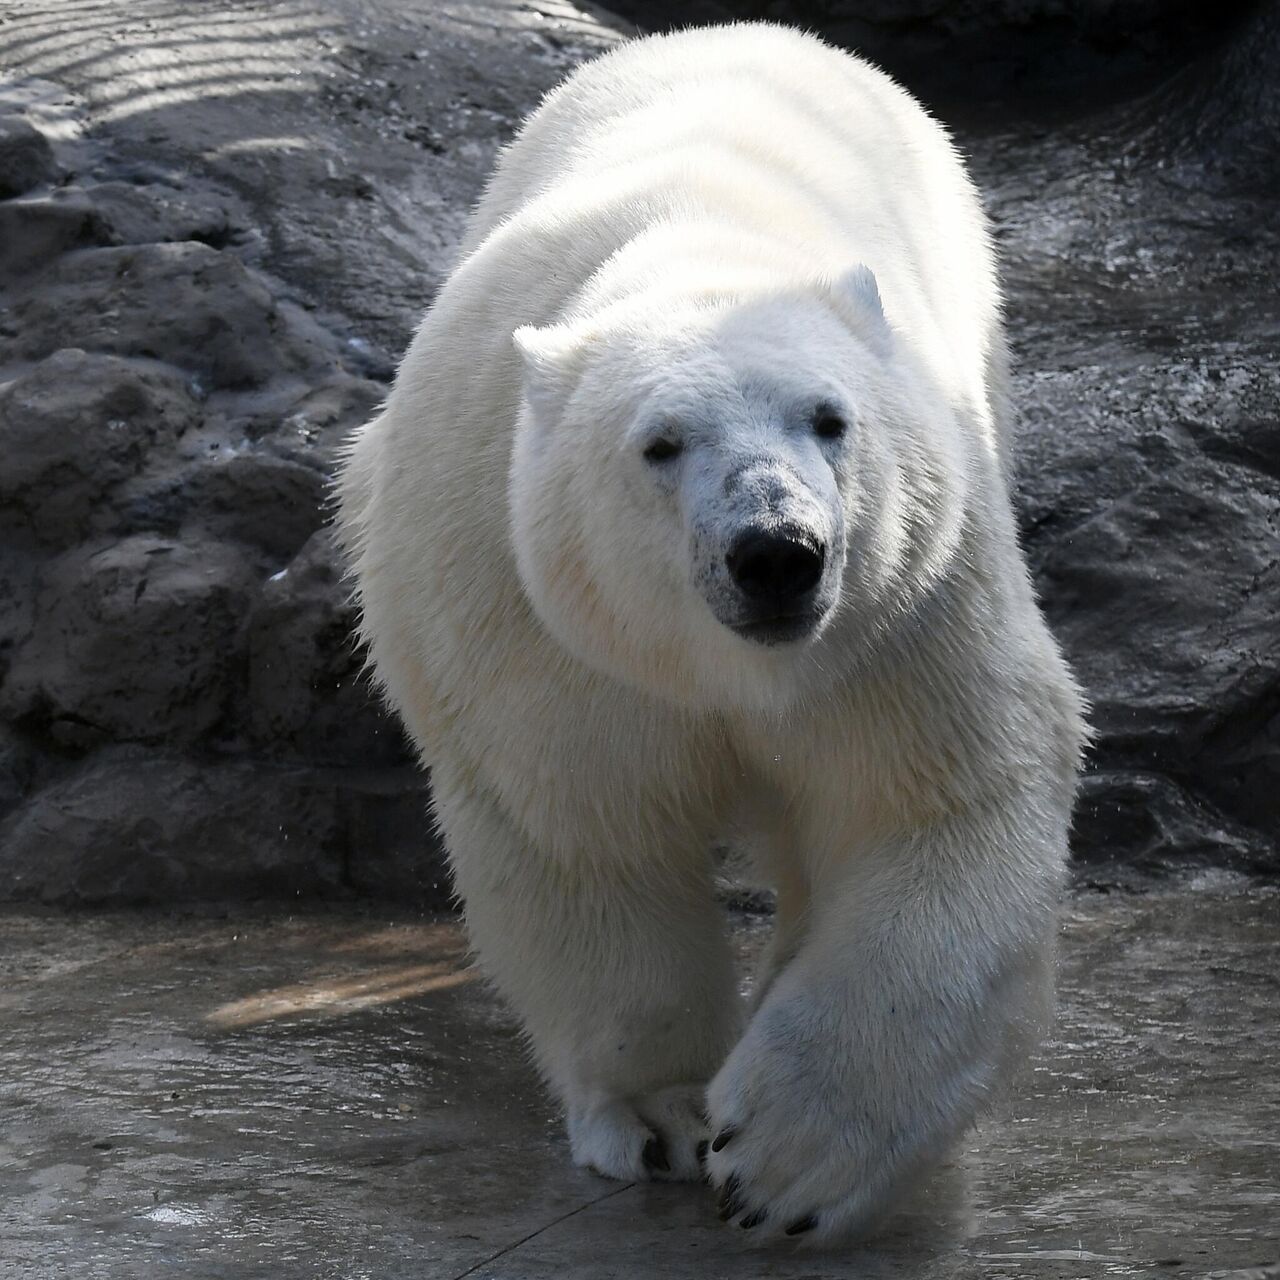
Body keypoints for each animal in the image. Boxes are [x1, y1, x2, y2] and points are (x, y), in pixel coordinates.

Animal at [335, 20, 1085, 1239]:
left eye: (828, 418)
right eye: (660, 443)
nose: (776, 552)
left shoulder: (901, 607)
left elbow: (930, 799)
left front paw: (787, 1156)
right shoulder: (534, 614)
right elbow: (585, 828)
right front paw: (663, 1115)